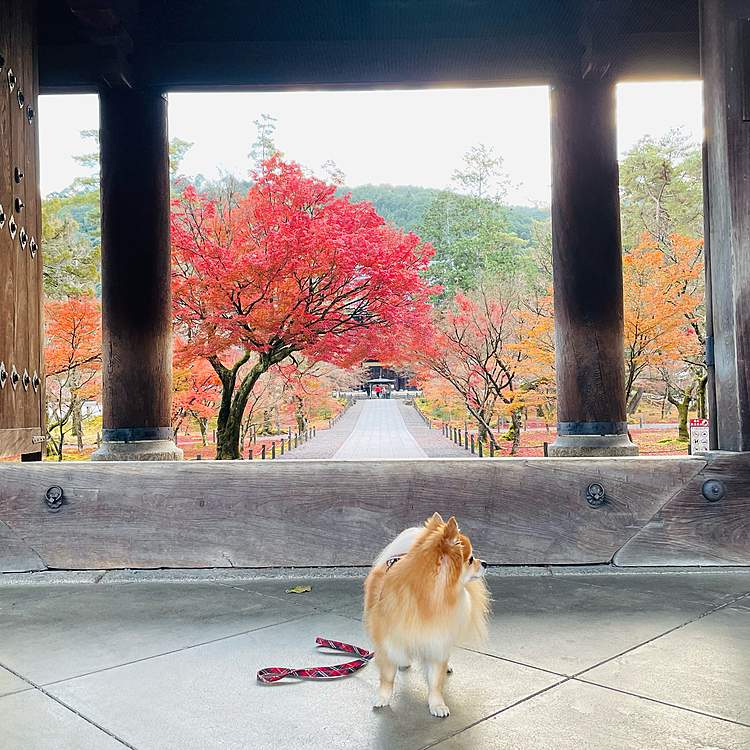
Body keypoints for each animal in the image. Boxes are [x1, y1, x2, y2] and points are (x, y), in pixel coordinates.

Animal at [366, 516, 494, 720]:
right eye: (470, 559)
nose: (485, 563)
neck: (428, 600)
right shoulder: (388, 642)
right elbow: (387, 677)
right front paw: (382, 698)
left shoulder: (437, 641)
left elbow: (435, 681)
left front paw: (437, 704)